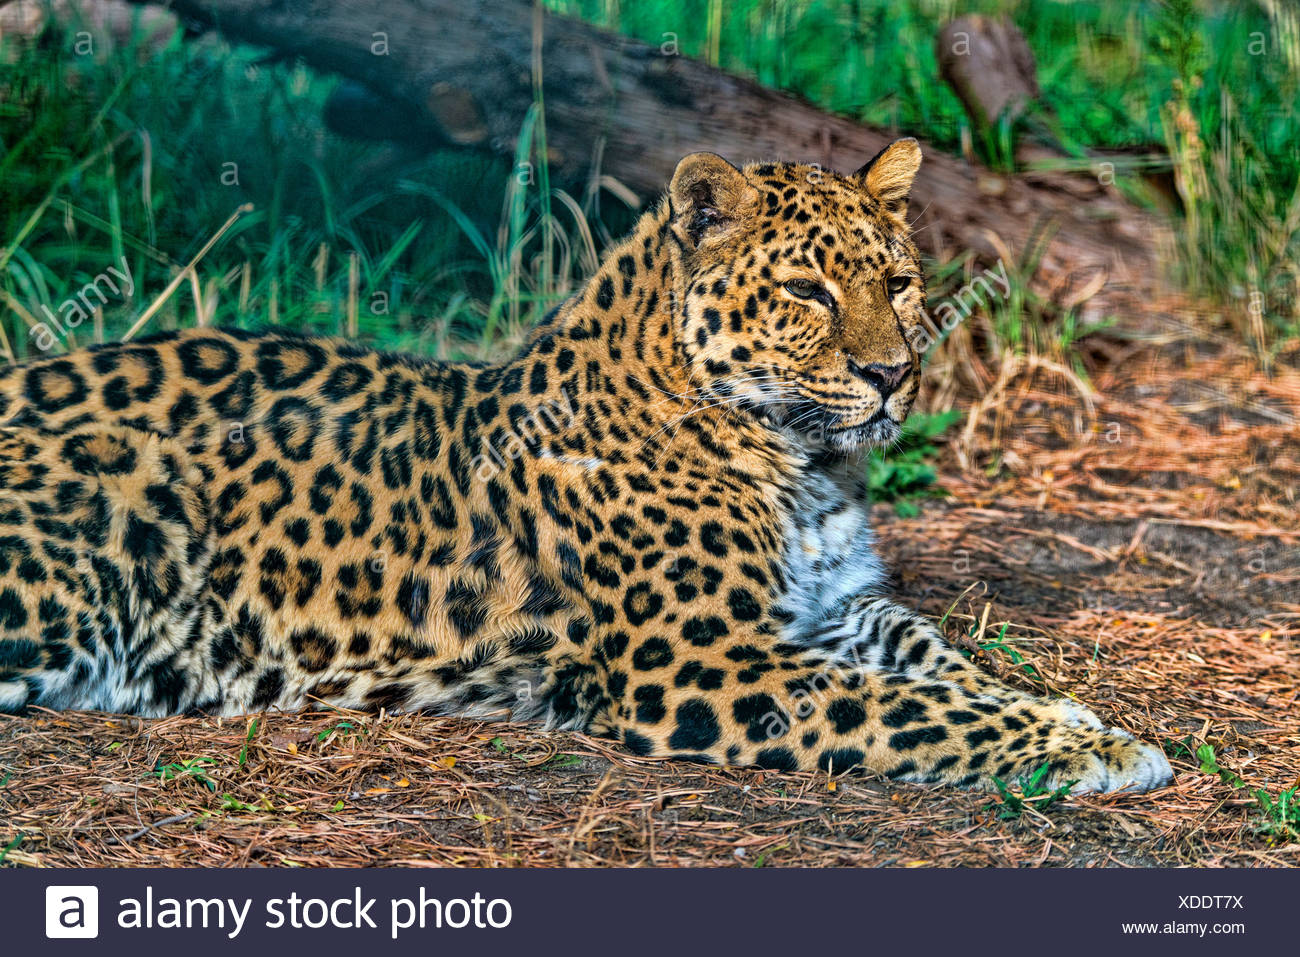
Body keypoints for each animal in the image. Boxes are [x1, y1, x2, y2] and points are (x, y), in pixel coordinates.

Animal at [0, 139, 1173, 793]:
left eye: (896, 281)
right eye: (806, 292)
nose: (892, 375)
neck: (803, 464)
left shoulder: (837, 610)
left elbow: (939, 664)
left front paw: (1074, 717)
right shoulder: (703, 662)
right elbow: (906, 708)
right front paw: (1094, 751)